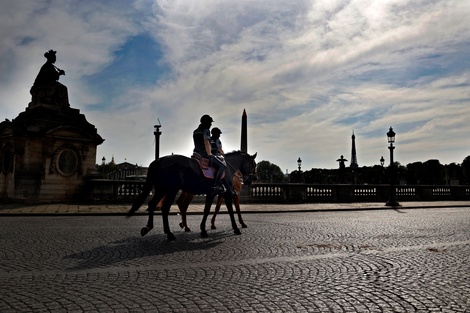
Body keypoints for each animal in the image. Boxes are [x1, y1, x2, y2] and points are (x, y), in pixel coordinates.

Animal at [126, 151, 255, 239]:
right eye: (253, 165)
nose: (250, 180)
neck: (227, 168)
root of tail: (158, 160)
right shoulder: (227, 193)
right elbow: (231, 210)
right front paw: (236, 228)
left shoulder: (212, 193)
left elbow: (207, 210)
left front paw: (203, 230)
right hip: (171, 190)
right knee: (166, 207)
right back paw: (169, 233)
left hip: (161, 189)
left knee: (153, 204)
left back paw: (148, 227)